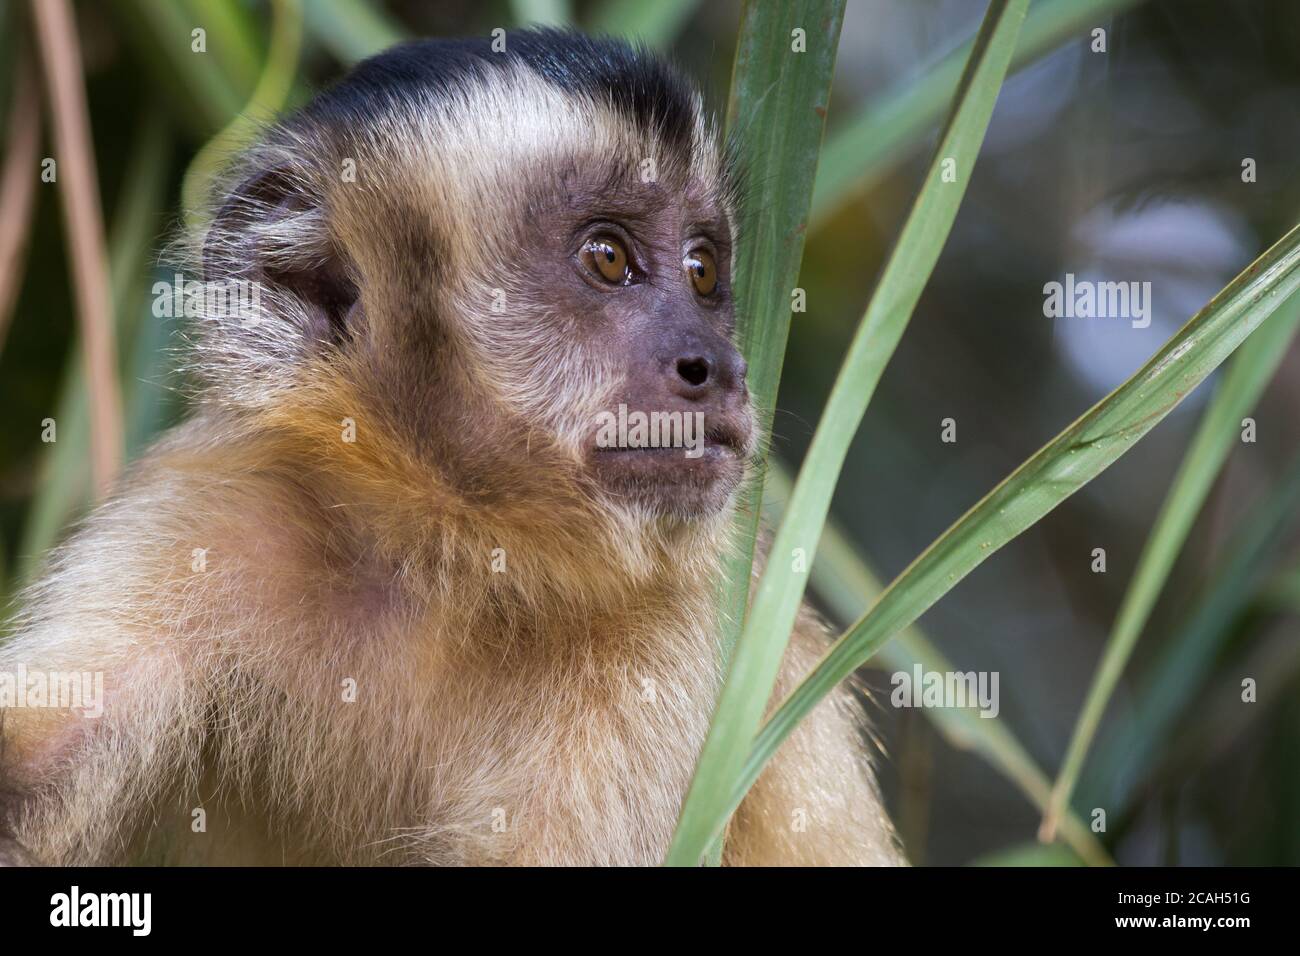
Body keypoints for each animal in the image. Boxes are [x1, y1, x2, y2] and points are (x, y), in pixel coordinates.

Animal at [0, 27, 904, 868]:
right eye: (608, 258)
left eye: (704, 271)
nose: (718, 366)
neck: (444, 549)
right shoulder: (211, 505)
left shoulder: (683, 629)